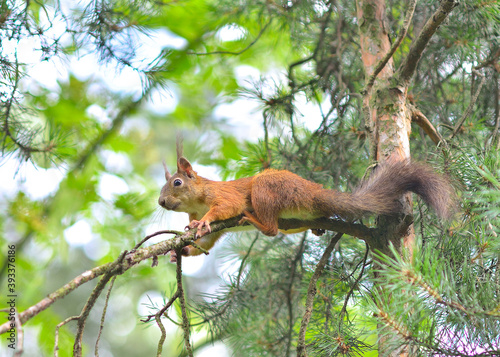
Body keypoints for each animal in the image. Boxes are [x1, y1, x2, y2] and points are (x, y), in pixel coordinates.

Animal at [158, 149, 456, 260]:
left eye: (177, 183)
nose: (160, 201)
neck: (197, 199)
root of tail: (313, 193)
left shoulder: (222, 196)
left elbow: (225, 208)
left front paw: (203, 221)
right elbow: (205, 243)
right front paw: (181, 250)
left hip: (266, 189)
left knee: (271, 229)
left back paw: (254, 220)